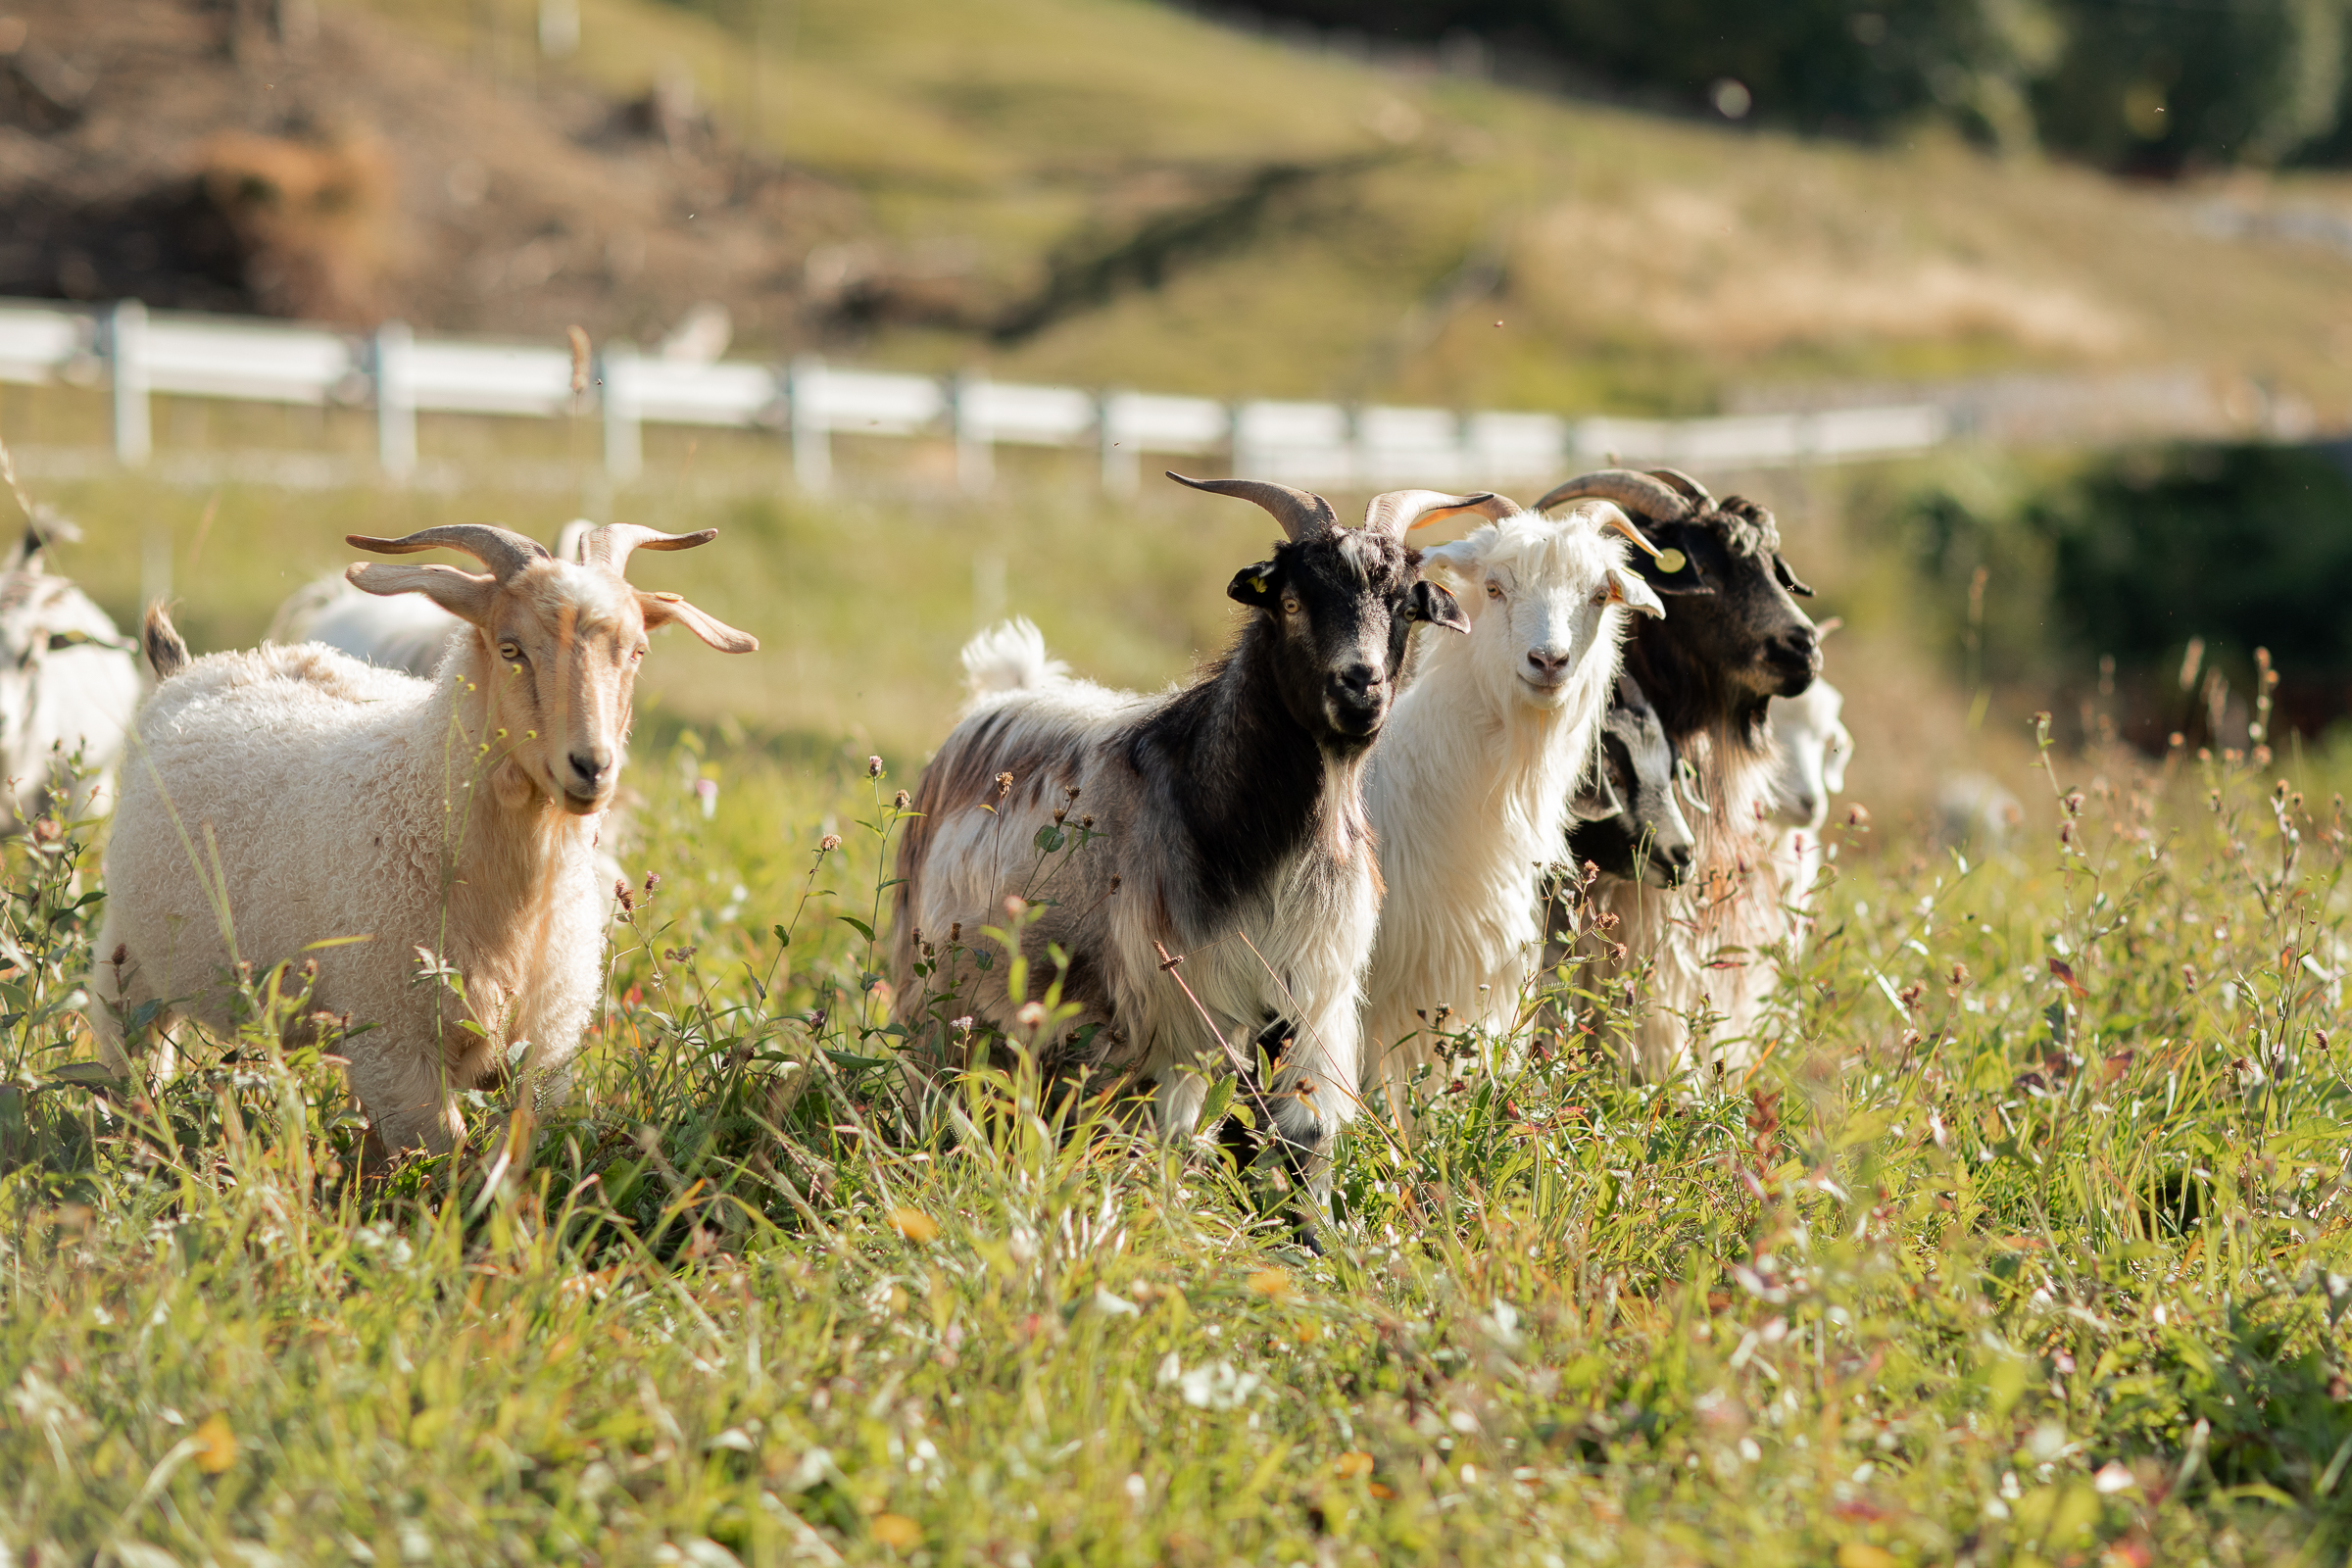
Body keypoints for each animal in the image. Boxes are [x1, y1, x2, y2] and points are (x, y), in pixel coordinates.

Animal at [91, 522, 755, 1154]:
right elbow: (447, 1162)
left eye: (636, 651)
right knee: (131, 1059)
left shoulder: (543, 1051)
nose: (592, 767)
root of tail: (203, 666)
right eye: (510, 647)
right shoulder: (397, 1042)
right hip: (130, 960)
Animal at [890, 474, 1473, 1213]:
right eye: (1291, 601)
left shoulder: (1312, 996)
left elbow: (1301, 1140)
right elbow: (1182, 1137)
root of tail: (991, 705)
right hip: (939, 988)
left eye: (1402, 607)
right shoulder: (1185, 1009)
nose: (1361, 683)